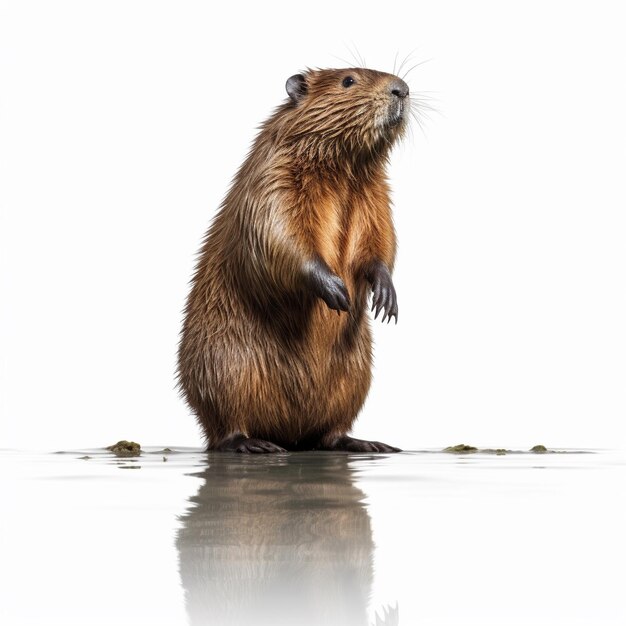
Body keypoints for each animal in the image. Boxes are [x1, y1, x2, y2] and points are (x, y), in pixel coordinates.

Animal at [177, 66, 410, 450]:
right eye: (348, 80)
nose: (402, 90)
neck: (344, 170)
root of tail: (291, 435)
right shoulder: (272, 178)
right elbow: (277, 234)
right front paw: (336, 292)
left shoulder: (377, 193)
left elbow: (381, 239)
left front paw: (386, 299)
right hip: (225, 365)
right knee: (226, 424)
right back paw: (253, 444)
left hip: (355, 374)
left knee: (331, 432)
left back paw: (366, 443)